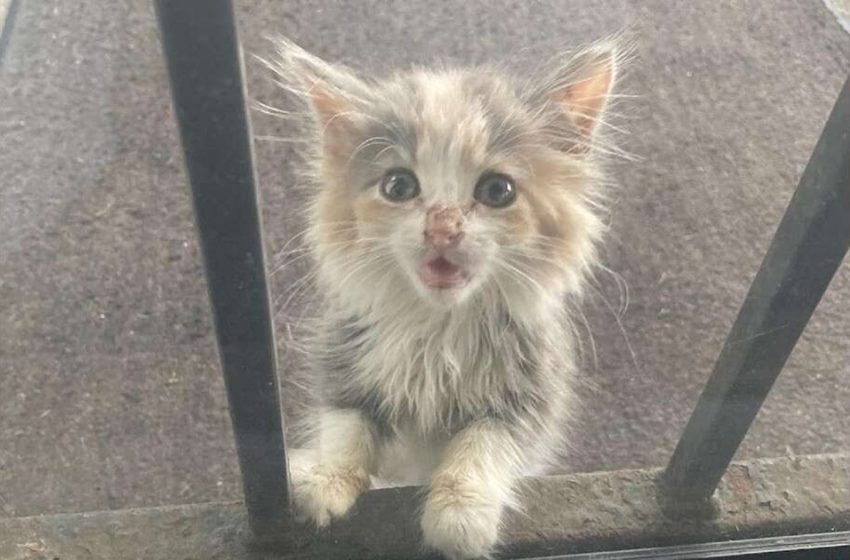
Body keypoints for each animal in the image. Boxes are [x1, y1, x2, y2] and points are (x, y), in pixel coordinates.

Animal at [268, 37, 628, 556]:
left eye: (497, 190)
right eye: (398, 185)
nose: (442, 227)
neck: (438, 328)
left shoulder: (529, 393)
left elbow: (482, 445)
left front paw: (460, 518)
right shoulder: (344, 355)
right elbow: (345, 425)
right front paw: (324, 481)